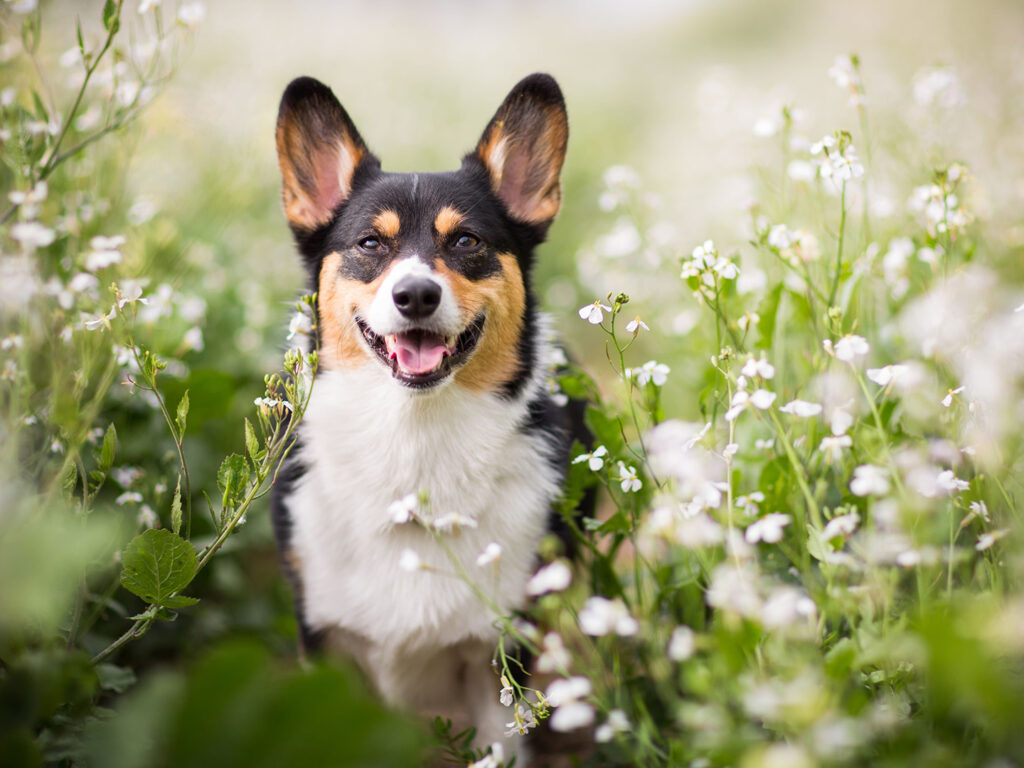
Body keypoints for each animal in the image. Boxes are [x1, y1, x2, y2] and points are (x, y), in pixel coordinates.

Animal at [270, 72, 577, 757]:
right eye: (369, 243)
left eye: (466, 241)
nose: (415, 295)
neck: (413, 442)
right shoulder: (324, 642)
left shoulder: (498, 659)